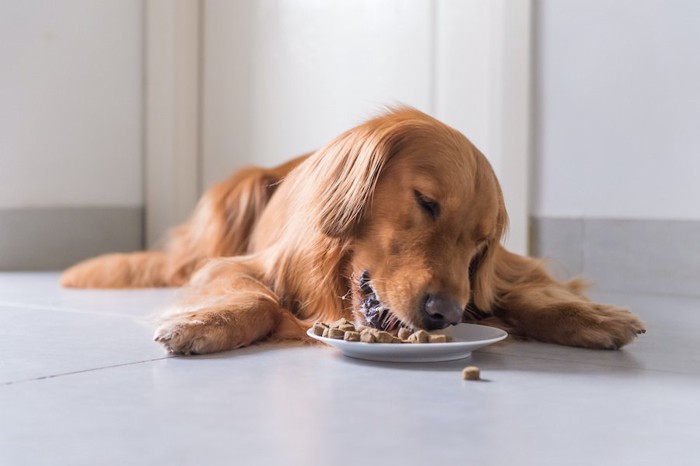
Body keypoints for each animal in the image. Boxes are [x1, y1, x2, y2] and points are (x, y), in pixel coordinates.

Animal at [61, 106, 644, 354]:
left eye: (480, 245)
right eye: (426, 202)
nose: (445, 314)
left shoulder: (508, 270)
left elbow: (533, 292)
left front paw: (591, 316)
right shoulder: (237, 265)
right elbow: (259, 299)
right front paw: (206, 323)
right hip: (238, 192)